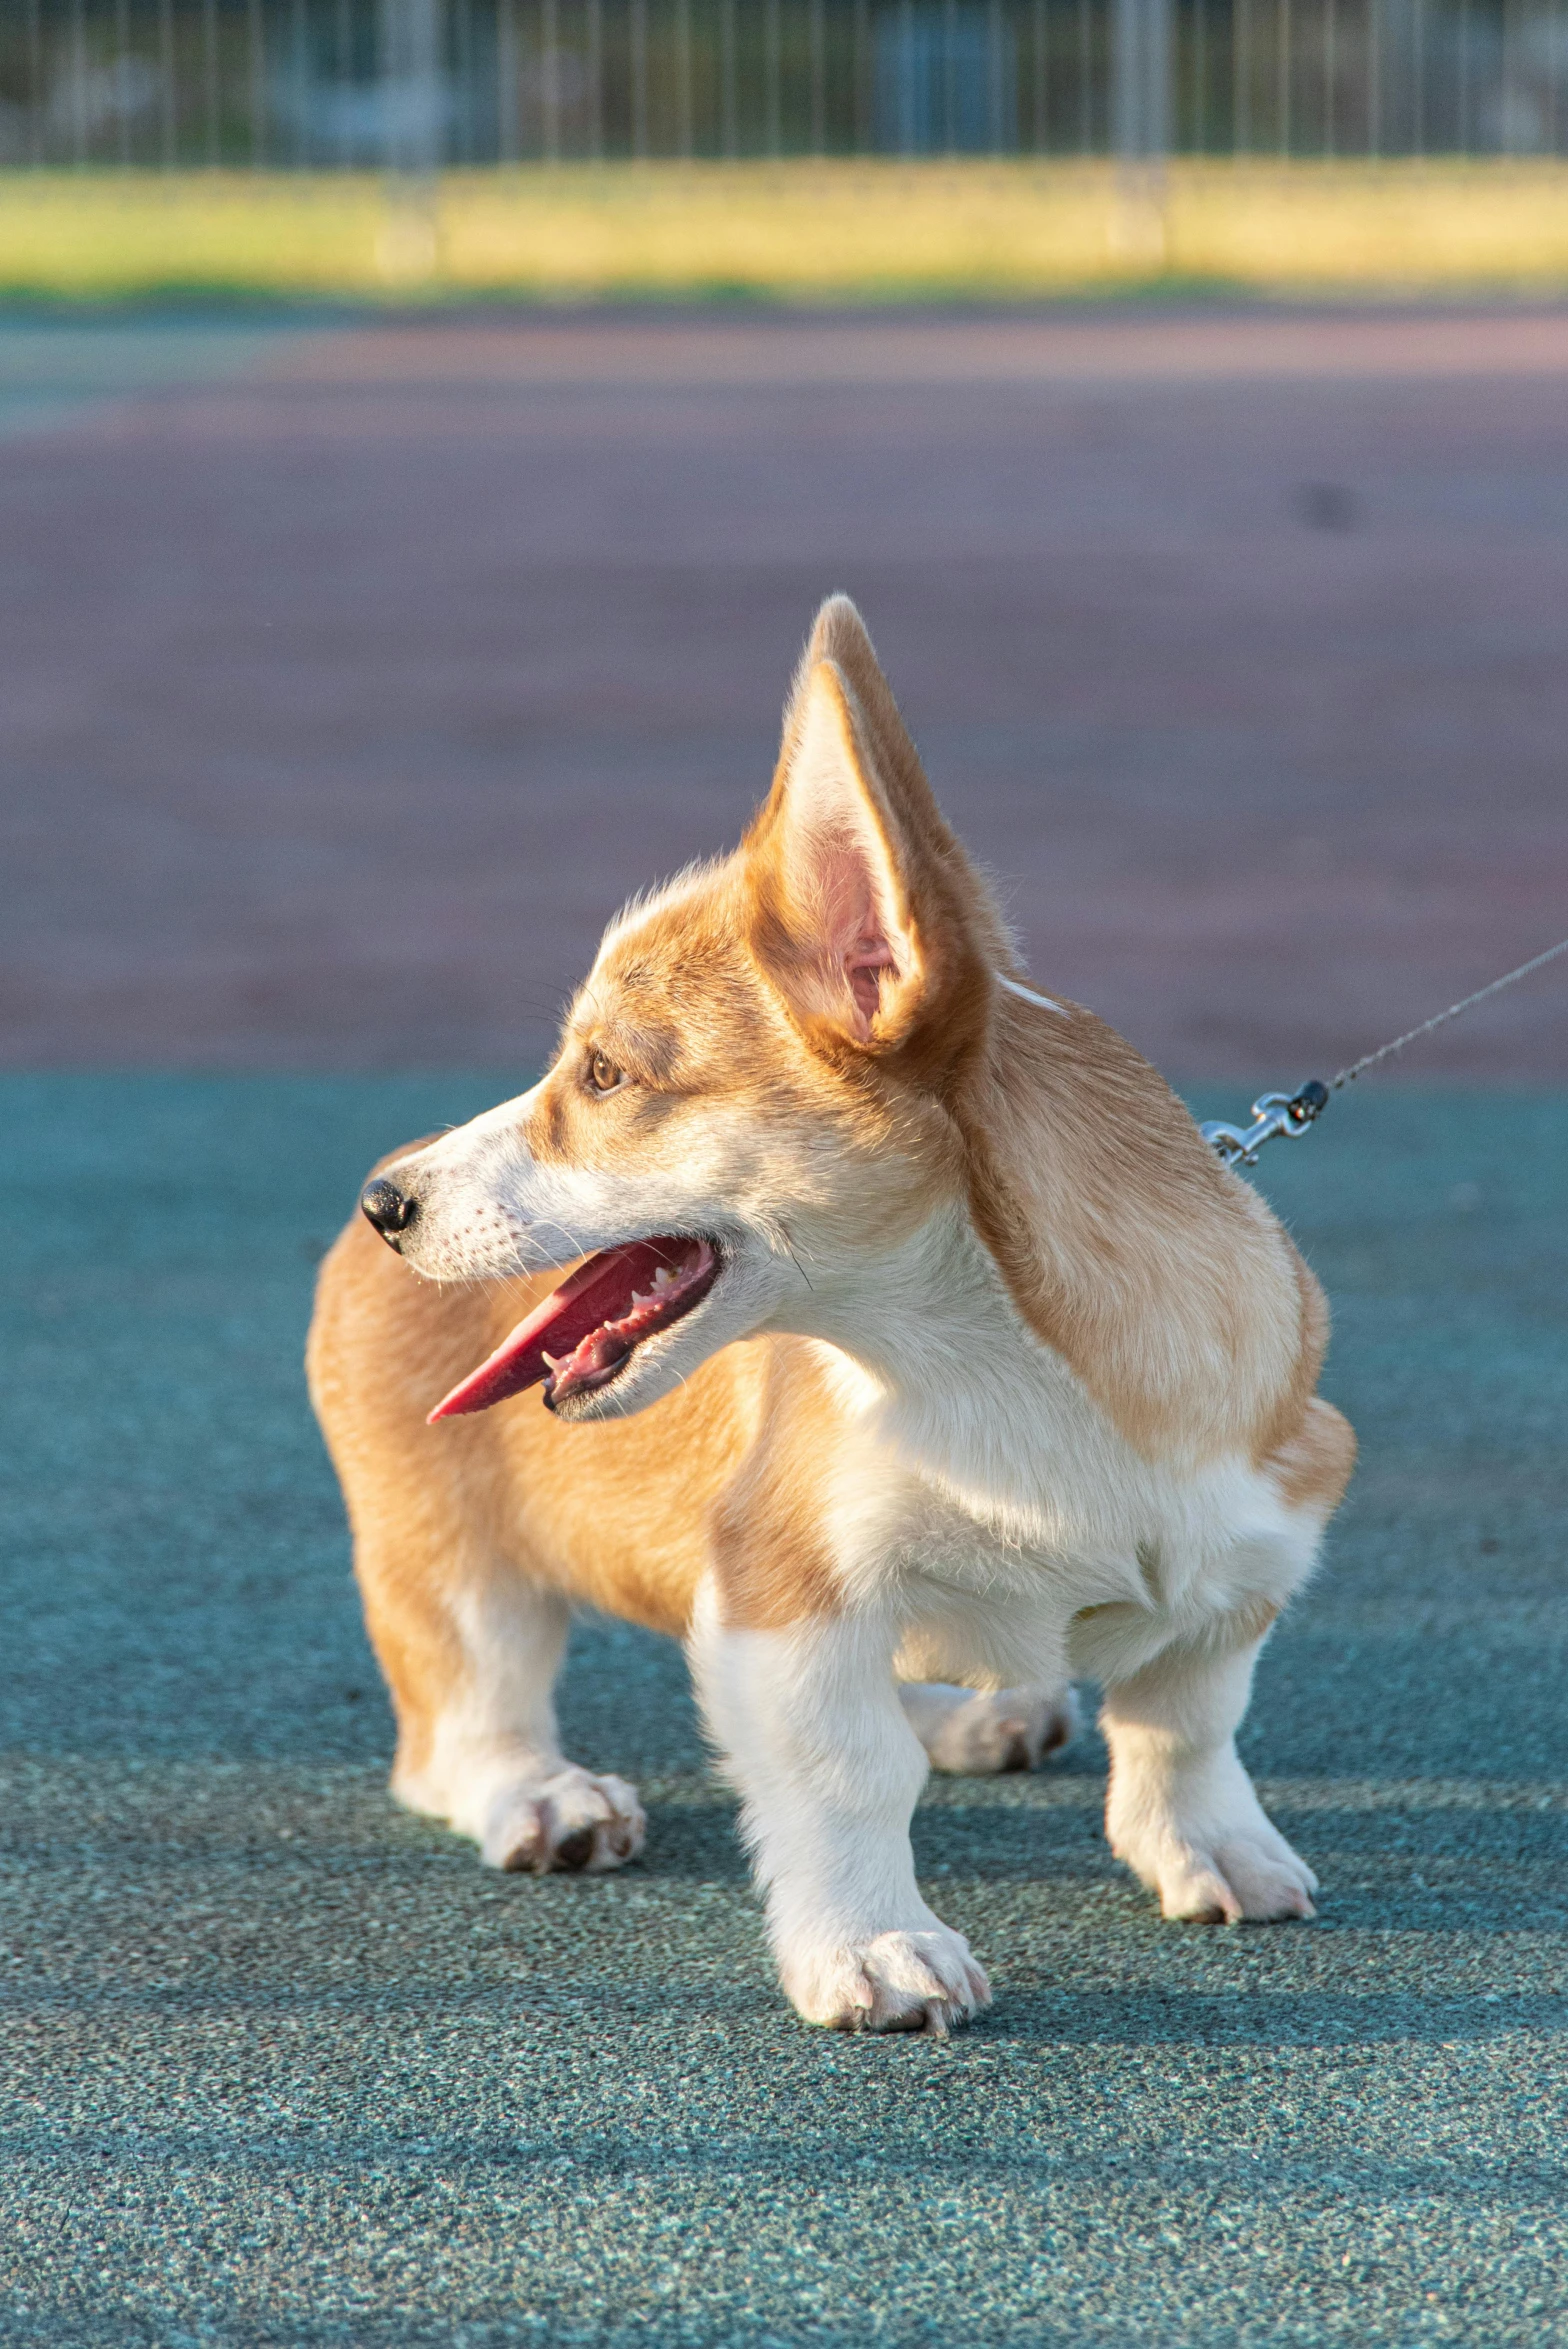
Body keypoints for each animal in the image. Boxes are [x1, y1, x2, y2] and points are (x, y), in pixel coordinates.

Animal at [305, 591, 1352, 2038]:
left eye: (604, 1075)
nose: (383, 1204)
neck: (988, 1364)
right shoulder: (783, 1577)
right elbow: (849, 1773)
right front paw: (874, 1949)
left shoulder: (1260, 1530)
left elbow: (1186, 1714)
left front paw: (1212, 1845)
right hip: (446, 1556)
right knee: (462, 1717)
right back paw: (544, 1795)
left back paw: (971, 1708)